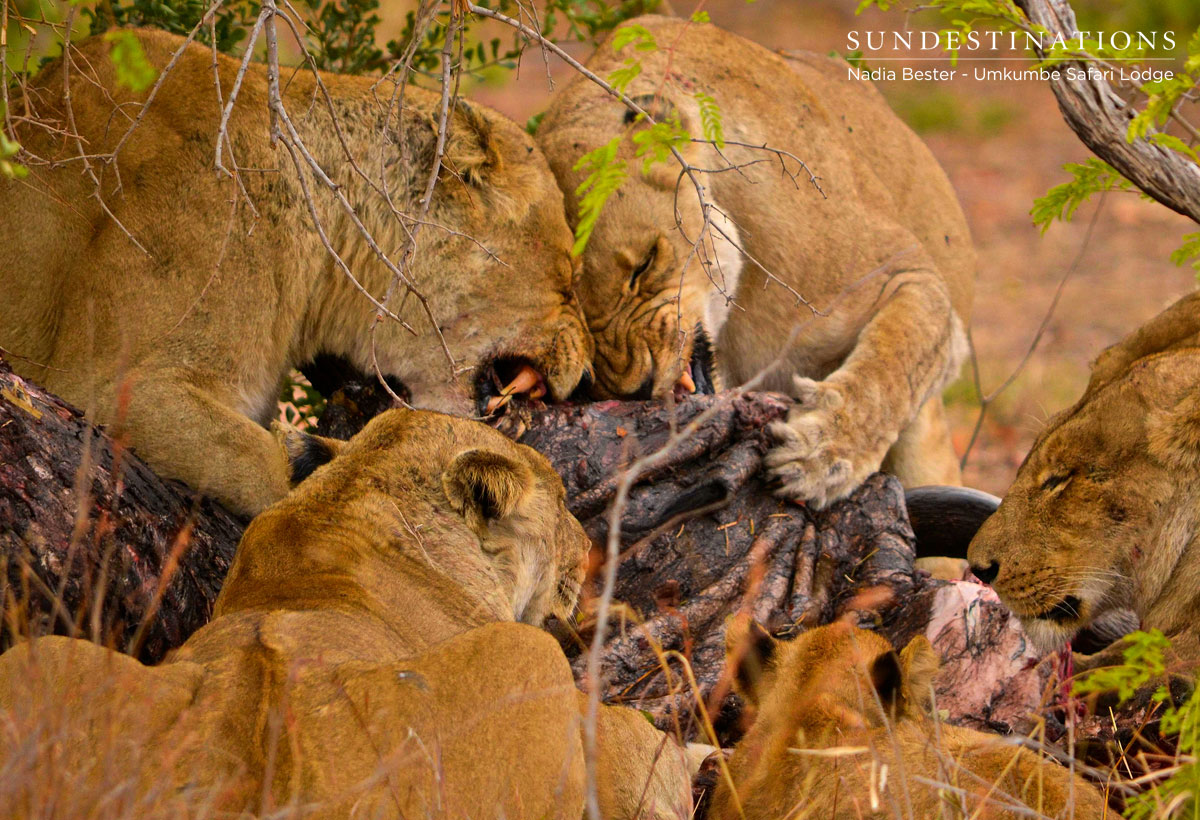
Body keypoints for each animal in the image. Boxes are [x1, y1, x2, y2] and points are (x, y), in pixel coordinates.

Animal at [0, 409, 695, 819]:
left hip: (43, 658)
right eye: (559, 500)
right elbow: (637, 749)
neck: (347, 500)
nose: (589, 551)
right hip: (526, 659)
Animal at [535, 16, 975, 508]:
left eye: (645, 264)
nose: (642, 387)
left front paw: (818, 456)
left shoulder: (907, 273)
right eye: (579, 314)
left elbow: (889, 369)